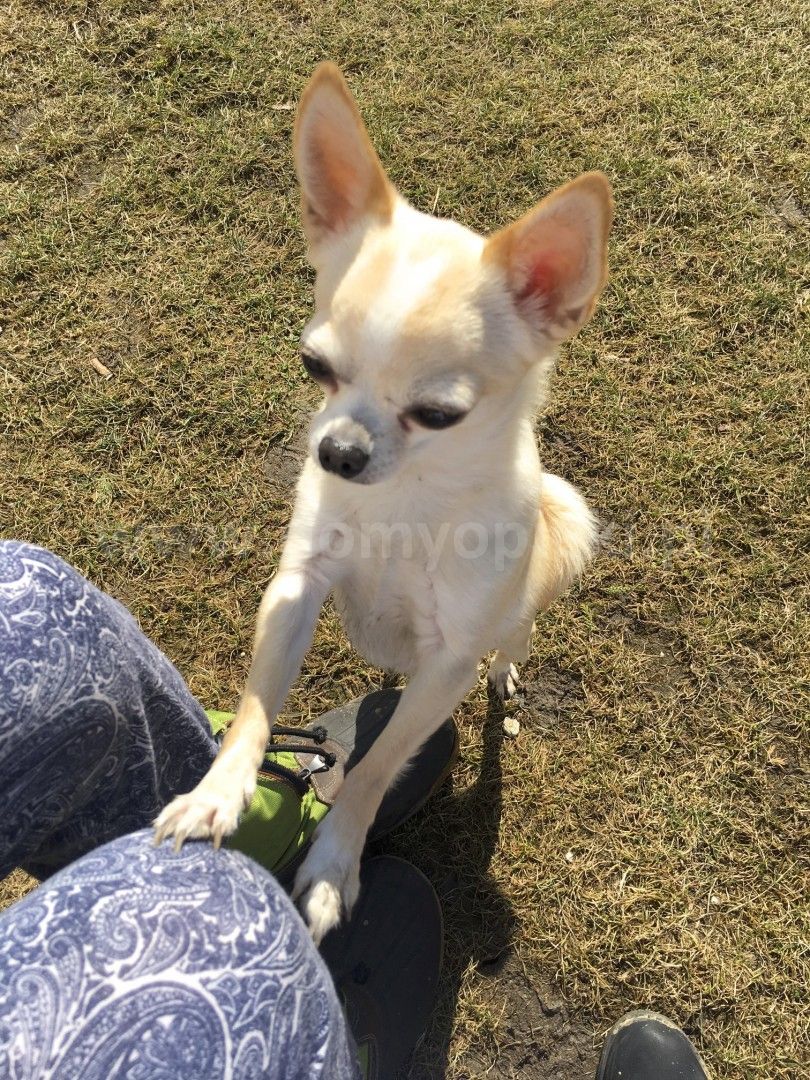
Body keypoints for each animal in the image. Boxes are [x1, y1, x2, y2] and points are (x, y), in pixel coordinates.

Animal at [154, 62, 612, 943]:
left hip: (533, 581)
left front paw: (334, 863)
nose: (337, 452)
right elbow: (256, 704)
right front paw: (219, 792)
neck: (405, 502)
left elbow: (375, 769)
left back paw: (508, 672)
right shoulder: (297, 587)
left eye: (437, 415)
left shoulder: (444, 667)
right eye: (314, 366)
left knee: (512, 642)